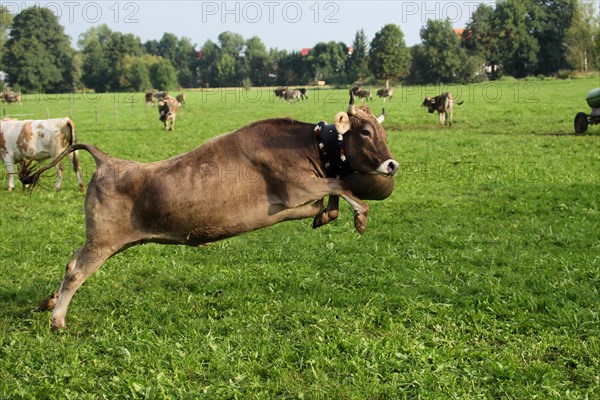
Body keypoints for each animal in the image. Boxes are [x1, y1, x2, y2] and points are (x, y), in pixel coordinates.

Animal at [23, 94, 398, 332]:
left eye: (382, 131)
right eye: (366, 132)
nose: (392, 165)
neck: (310, 144)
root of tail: (107, 160)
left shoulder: (299, 198)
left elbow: (330, 195)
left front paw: (328, 216)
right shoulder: (296, 188)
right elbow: (340, 185)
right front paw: (360, 215)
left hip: (103, 239)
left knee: (71, 261)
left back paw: (49, 302)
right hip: (102, 240)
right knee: (76, 272)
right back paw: (57, 320)